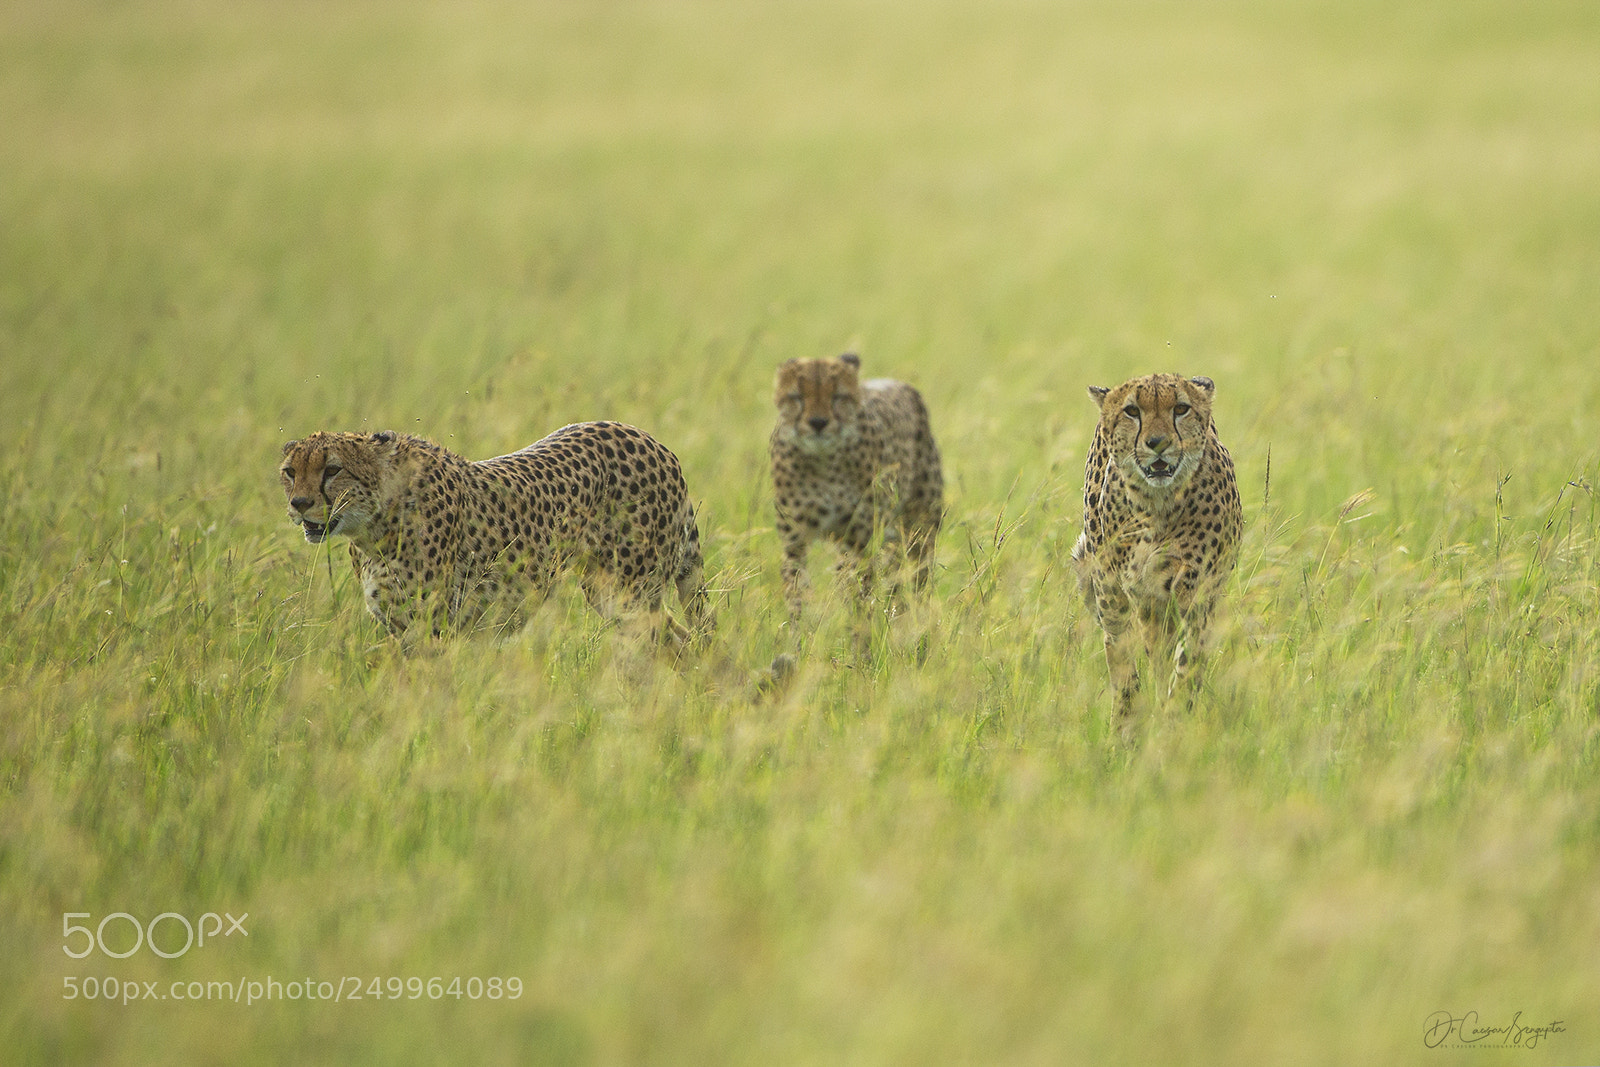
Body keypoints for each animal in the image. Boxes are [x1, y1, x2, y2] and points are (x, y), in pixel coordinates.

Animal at [279, 422, 707, 643]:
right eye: (290, 472)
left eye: (333, 470)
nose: (299, 503)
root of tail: (648, 437)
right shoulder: (403, 633)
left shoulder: (432, 631)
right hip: (613, 596)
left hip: (629, 596)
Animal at [769, 352, 943, 618]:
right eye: (796, 397)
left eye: (838, 396)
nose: (818, 422)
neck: (822, 462)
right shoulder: (794, 543)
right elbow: (797, 590)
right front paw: (801, 627)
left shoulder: (858, 539)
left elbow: (857, 587)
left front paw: (858, 624)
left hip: (918, 529)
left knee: (916, 579)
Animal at [1072, 373, 1243, 727]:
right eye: (1132, 411)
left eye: (1180, 409)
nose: (1158, 443)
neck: (1157, 505)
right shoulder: (1127, 592)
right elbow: (1126, 660)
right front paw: (1130, 723)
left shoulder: (1195, 589)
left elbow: (1189, 658)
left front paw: (1175, 715)